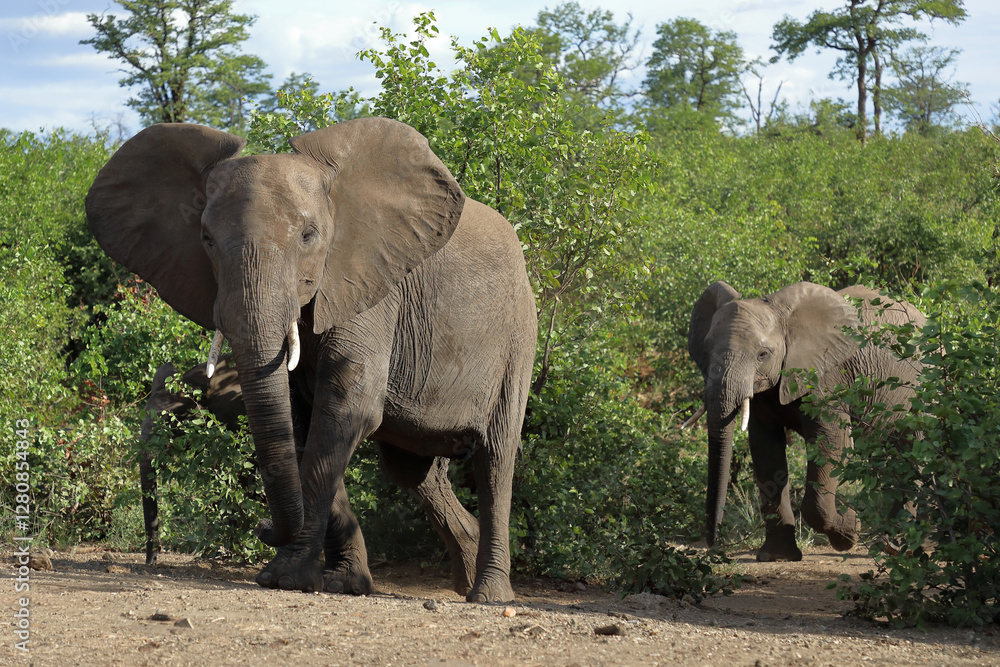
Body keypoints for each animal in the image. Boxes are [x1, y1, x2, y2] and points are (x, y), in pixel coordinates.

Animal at [87, 117, 538, 602]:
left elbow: (343, 409)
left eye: (308, 235)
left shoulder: (368, 284)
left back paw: (489, 595)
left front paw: (282, 579)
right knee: (414, 472)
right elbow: (303, 424)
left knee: (495, 460)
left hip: (518, 338)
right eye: (205, 239)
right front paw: (343, 584)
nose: (264, 526)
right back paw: (465, 575)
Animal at [687, 281, 925, 562]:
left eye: (762, 355)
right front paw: (777, 556)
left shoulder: (827, 376)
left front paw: (850, 531)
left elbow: (832, 442)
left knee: (915, 451)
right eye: (706, 348)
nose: (712, 543)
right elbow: (766, 451)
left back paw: (893, 546)